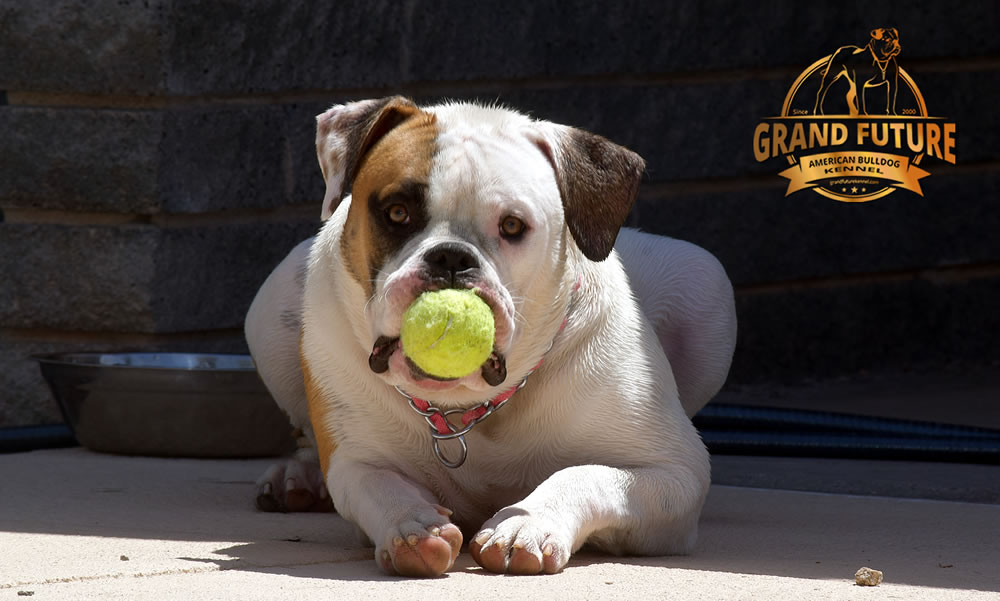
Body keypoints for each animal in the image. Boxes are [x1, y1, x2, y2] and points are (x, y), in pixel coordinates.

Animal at [246, 97, 740, 576]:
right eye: (397, 213)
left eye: (512, 226)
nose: (450, 257)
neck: (469, 409)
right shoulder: (355, 461)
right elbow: (379, 485)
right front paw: (411, 526)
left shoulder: (673, 474)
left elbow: (587, 475)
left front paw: (527, 525)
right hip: (274, 304)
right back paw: (298, 477)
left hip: (706, 283)